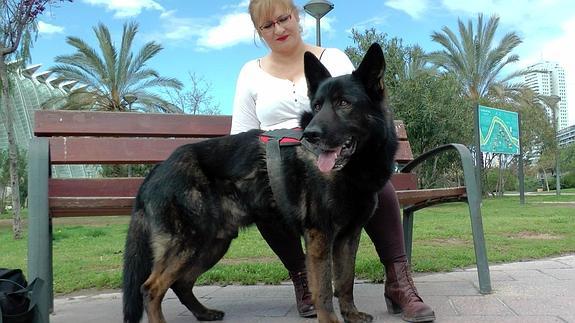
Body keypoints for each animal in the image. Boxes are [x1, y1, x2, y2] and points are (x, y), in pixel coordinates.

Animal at [124, 43, 398, 323]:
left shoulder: (348, 237)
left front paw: (350, 314)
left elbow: (345, 280)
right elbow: (323, 288)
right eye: (317, 105)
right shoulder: (319, 236)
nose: (310, 134)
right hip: (189, 243)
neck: (355, 168)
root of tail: (158, 169)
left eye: (344, 103)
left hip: (212, 244)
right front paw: (331, 320)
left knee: (181, 283)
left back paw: (204, 312)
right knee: (151, 288)